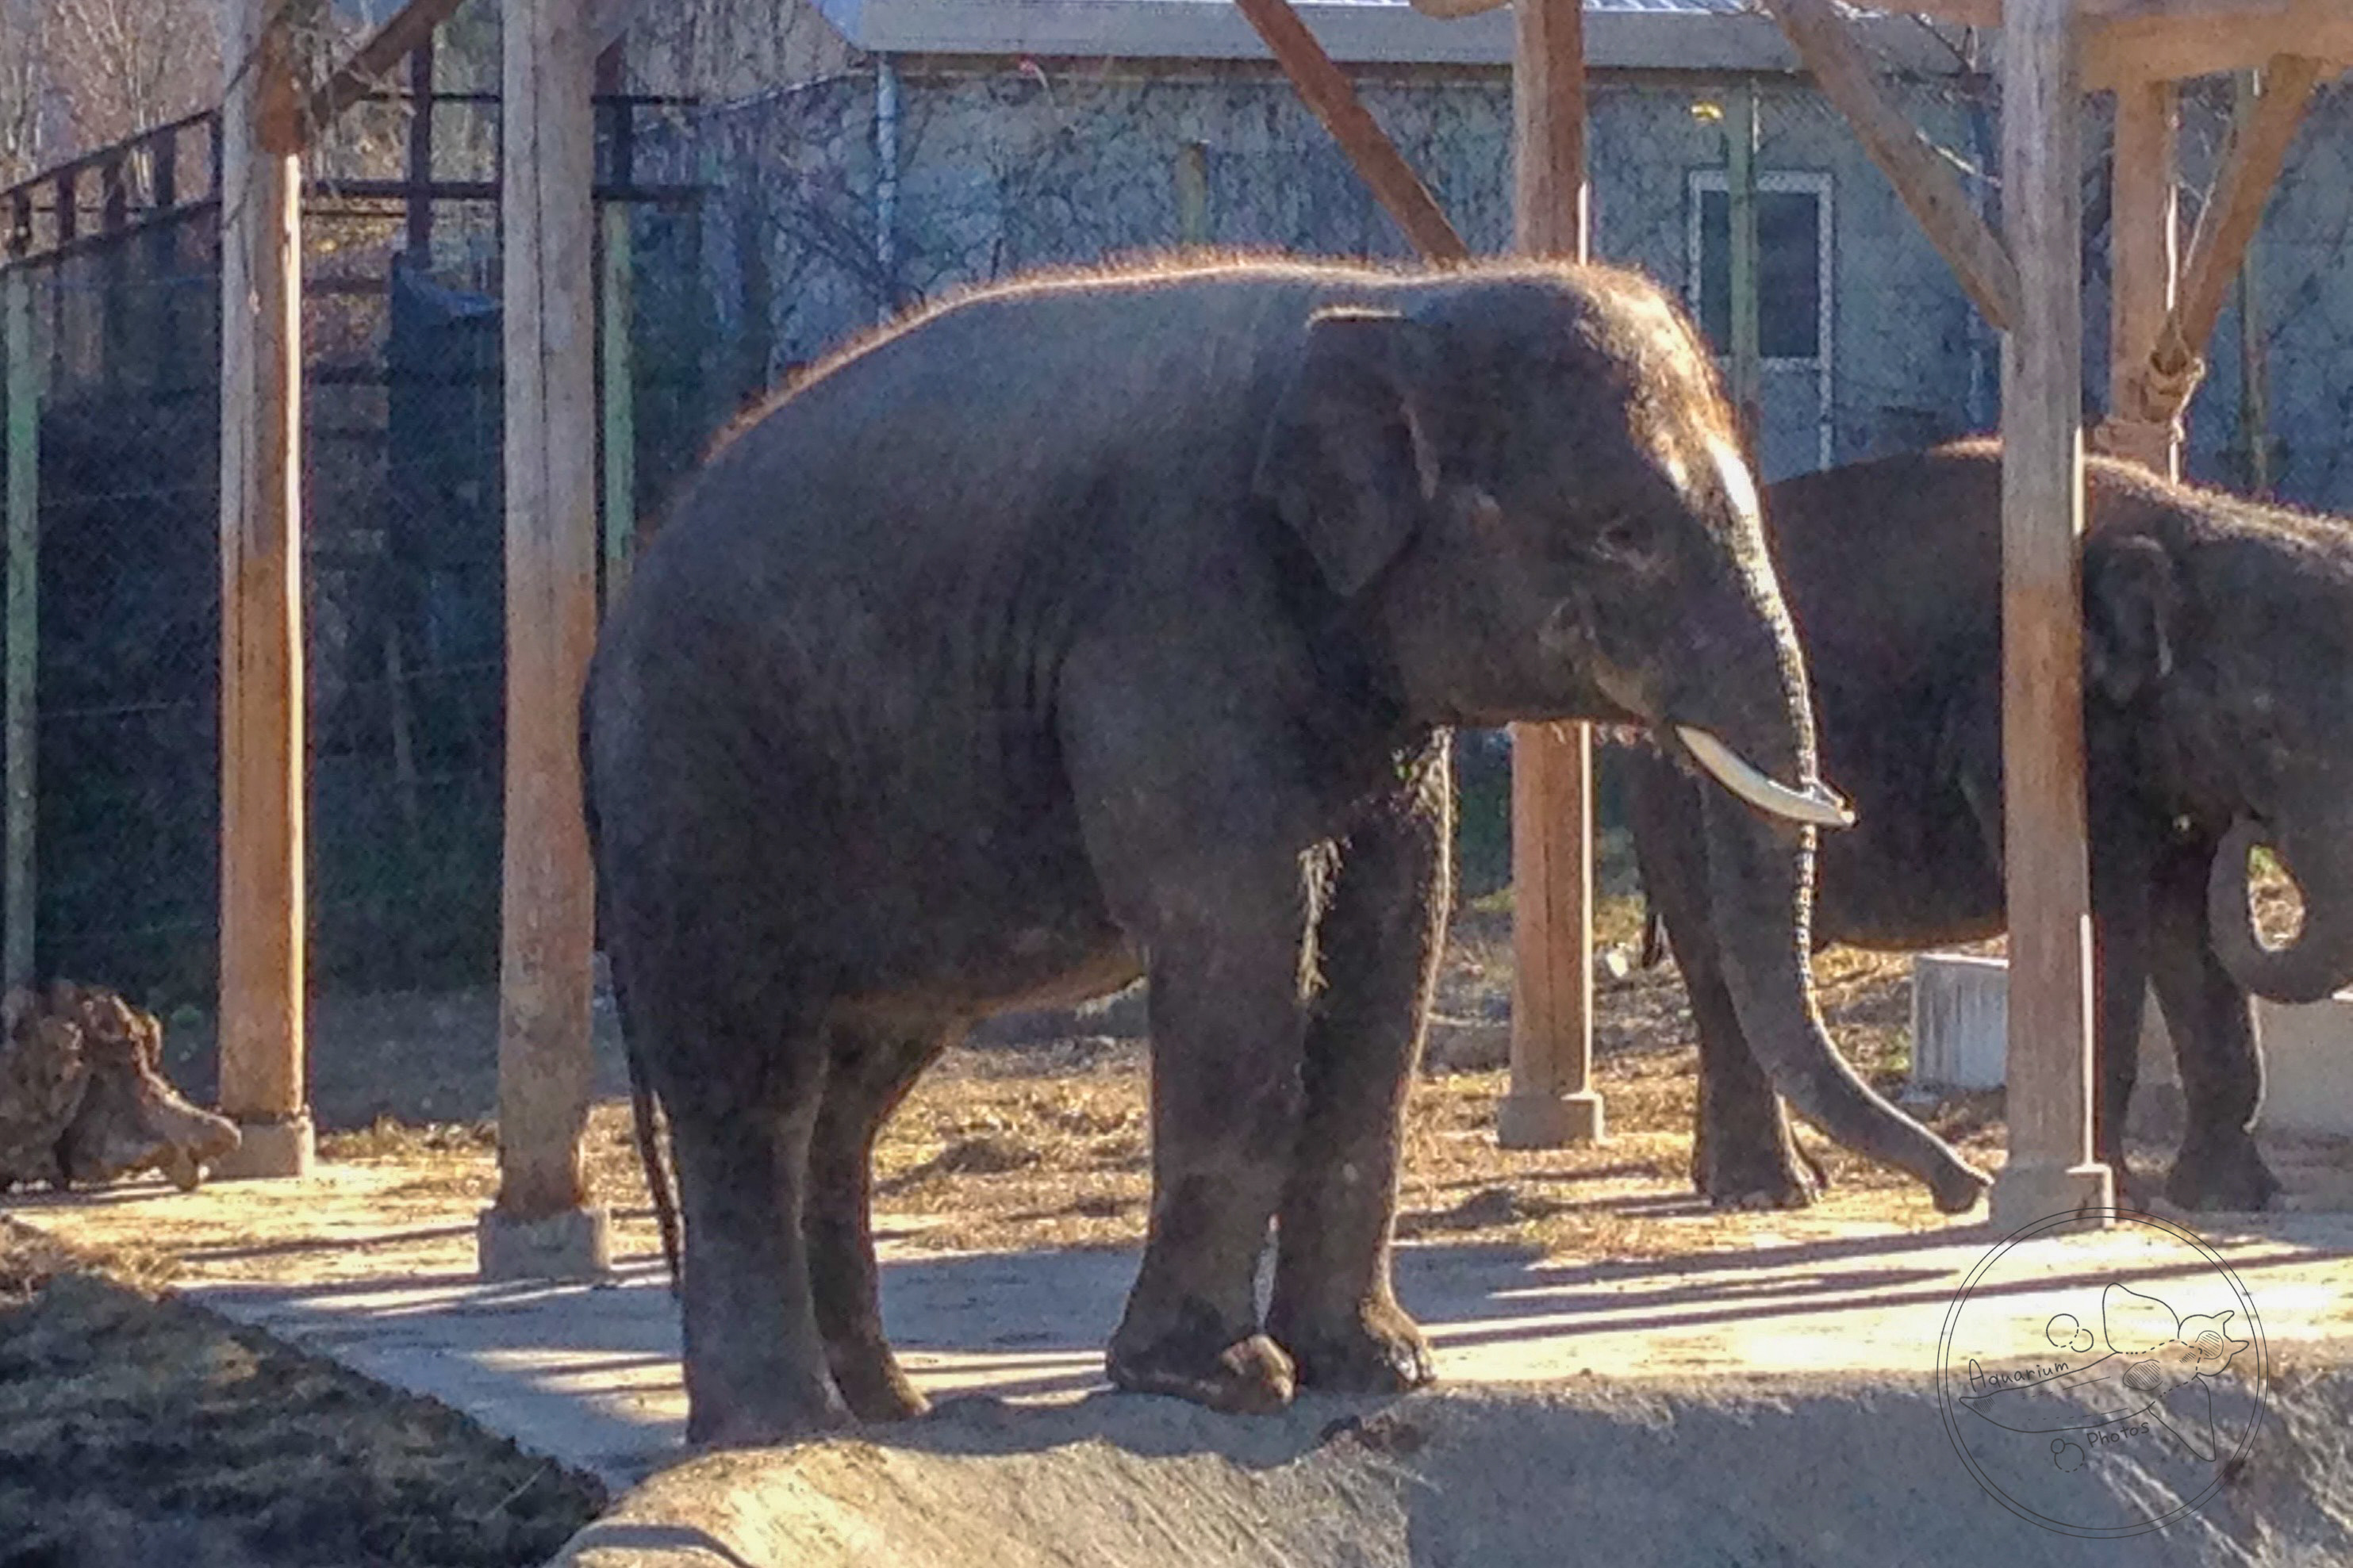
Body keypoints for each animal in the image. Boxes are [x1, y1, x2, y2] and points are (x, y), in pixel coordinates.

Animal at [580, 256, 1991, 1447]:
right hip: (697, 795)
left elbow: (1392, 930)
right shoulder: (1174, 612)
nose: (1961, 1193)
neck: (1403, 301)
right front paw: (1217, 1384)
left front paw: (1379, 1370)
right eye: (1619, 534)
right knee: (750, 1078)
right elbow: (1242, 933)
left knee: (853, 1091)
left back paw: (886, 1408)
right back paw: (784, 1428)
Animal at [1625, 437, 2353, 1214]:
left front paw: (2230, 1199)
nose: (2259, 829)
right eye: (2268, 735)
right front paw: (2114, 1198)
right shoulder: (2018, 724)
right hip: (1683, 794)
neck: (2197, 522)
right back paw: (1772, 1191)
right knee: (1715, 963)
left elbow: (2193, 933)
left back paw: (1739, 1180)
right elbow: (2108, 924)